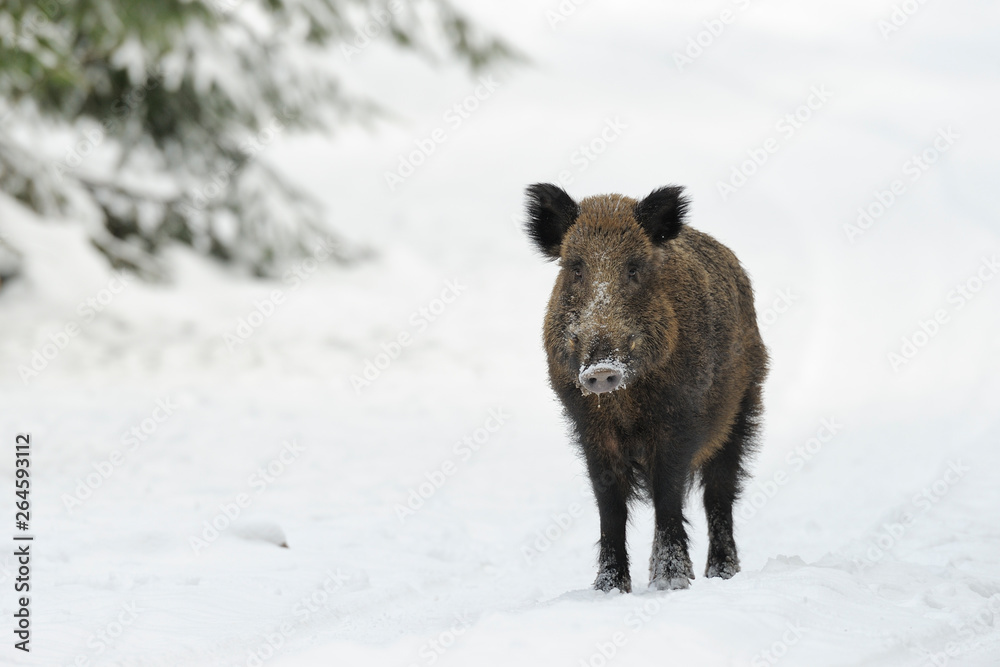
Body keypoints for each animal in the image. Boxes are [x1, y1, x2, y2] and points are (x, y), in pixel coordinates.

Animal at [524, 183, 768, 592]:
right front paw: (608, 588)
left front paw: (671, 583)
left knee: (719, 494)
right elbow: (609, 506)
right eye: (575, 267)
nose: (602, 368)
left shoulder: (679, 419)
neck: (624, 404)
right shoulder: (589, 428)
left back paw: (721, 573)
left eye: (634, 268)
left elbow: (668, 495)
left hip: (743, 407)